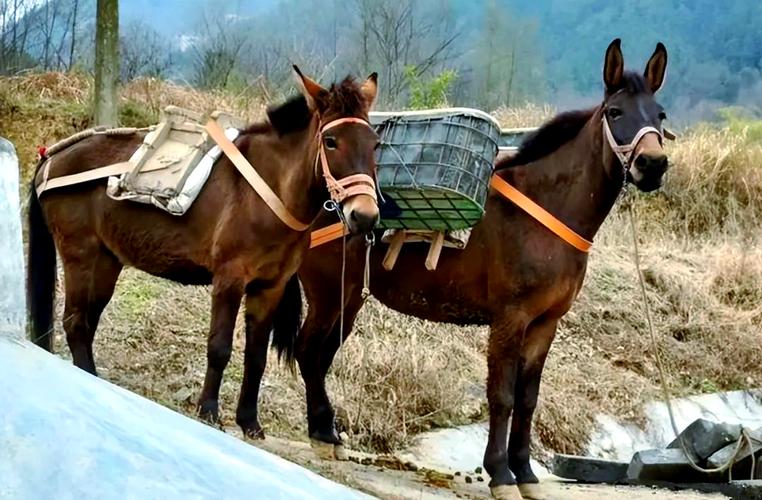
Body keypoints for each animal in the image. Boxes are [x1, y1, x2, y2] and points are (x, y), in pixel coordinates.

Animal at [26, 67, 381, 439]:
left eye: (375, 144)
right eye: (331, 141)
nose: (365, 216)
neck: (269, 191)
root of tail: (53, 156)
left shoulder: (269, 287)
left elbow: (256, 357)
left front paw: (249, 421)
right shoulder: (230, 279)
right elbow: (219, 347)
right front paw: (209, 411)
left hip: (107, 260)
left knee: (87, 320)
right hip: (80, 253)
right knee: (75, 321)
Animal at [266, 39, 670, 499]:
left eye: (660, 115)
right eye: (615, 112)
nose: (653, 164)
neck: (543, 209)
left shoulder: (545, 324)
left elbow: (528, 399)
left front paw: (525, 473)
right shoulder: (510, 319)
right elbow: (502, 397)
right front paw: (501, 473)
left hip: (349, 296)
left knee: (320, 354)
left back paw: (325, 431)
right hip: (327, 291)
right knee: (307, 350)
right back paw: (320, 431)